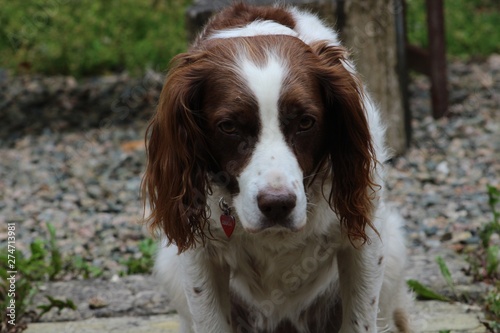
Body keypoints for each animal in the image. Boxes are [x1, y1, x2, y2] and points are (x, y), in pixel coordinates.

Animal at [143, 3, 412, 332]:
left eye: (306, 121)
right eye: (228, 126)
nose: (277, 205)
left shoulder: (363, 235)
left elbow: (359, 320)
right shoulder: (198, 252)